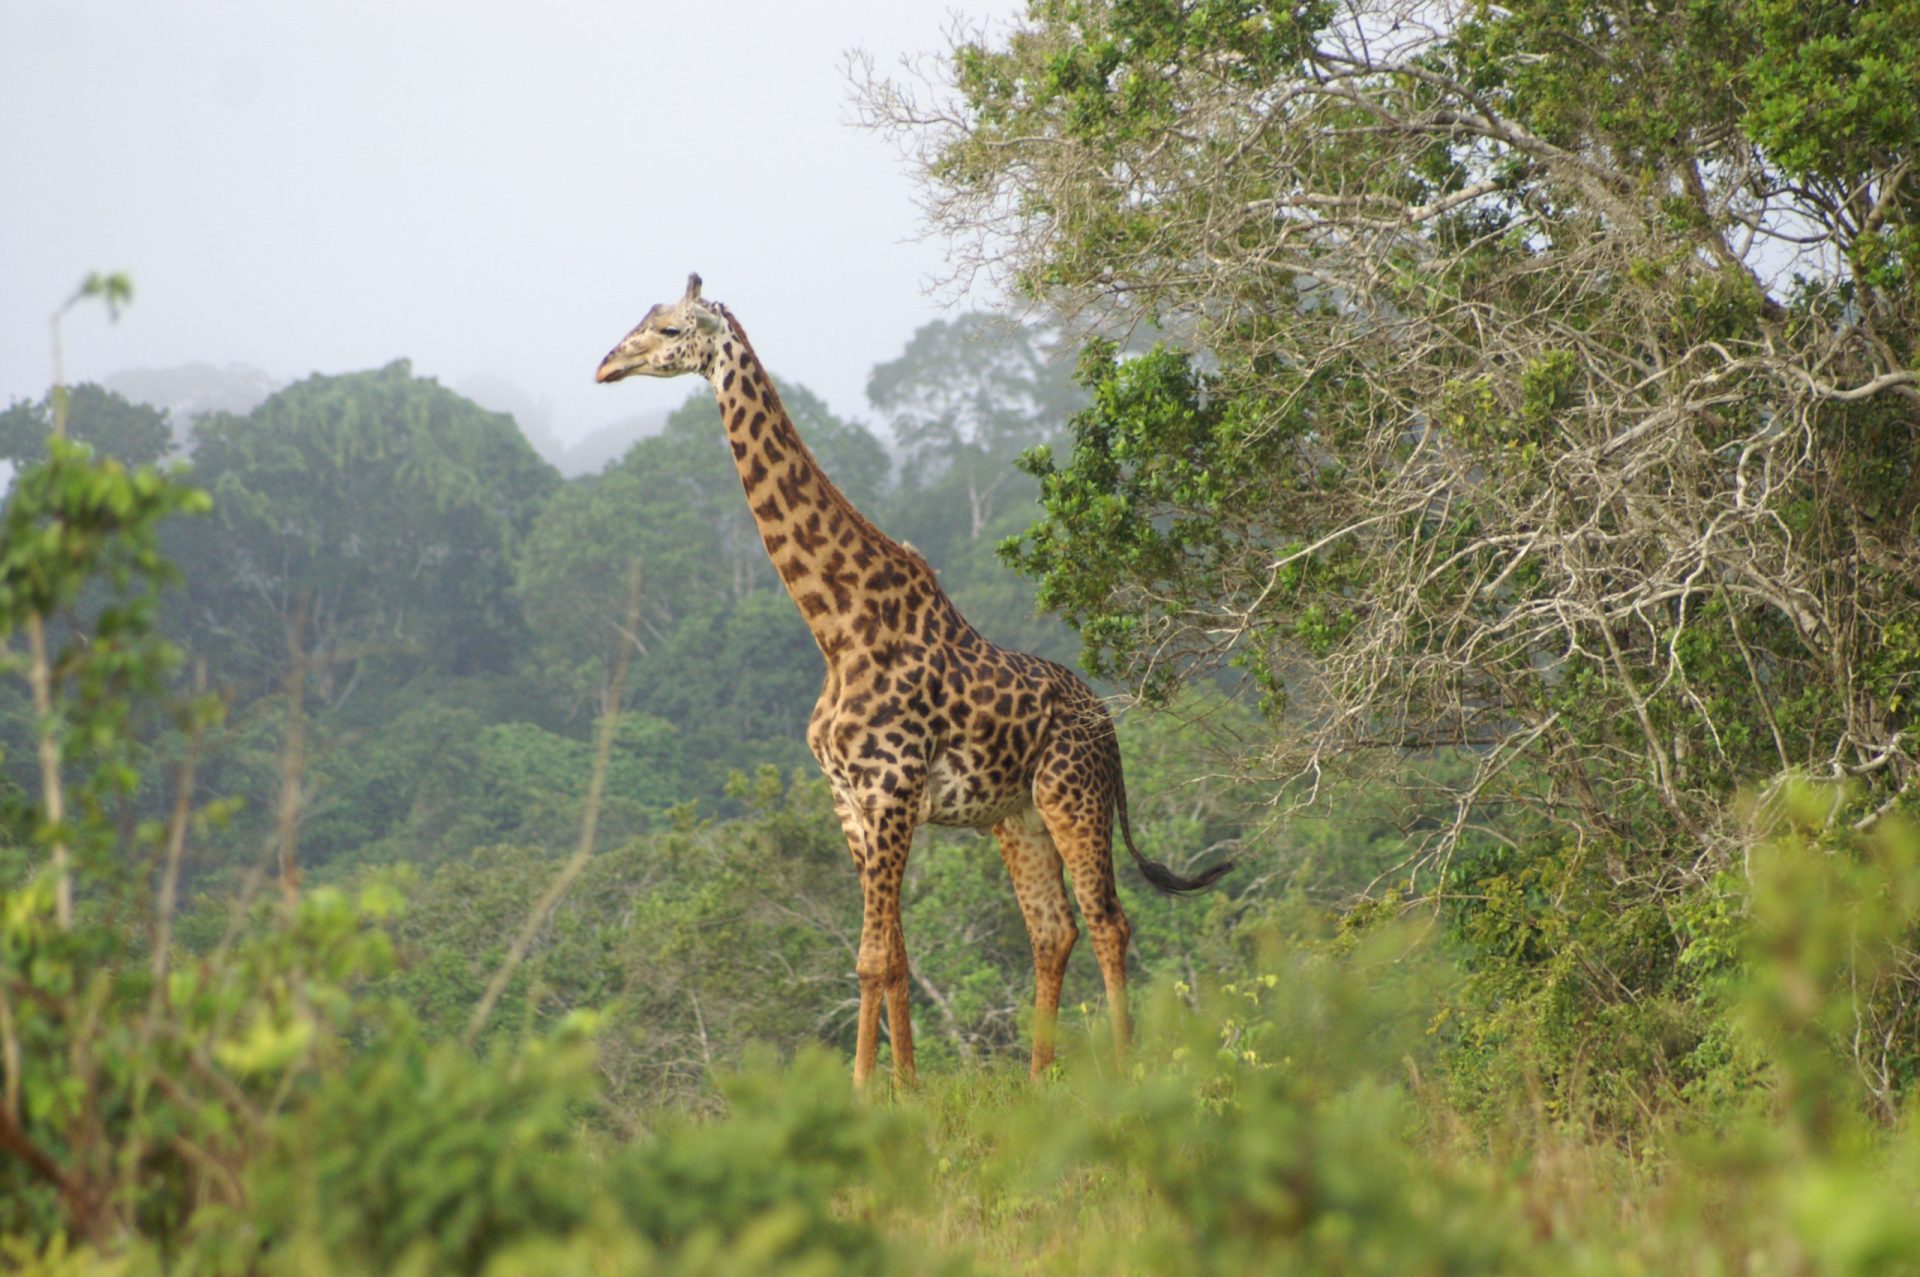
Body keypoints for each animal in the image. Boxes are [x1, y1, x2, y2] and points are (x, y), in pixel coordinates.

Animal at [599, 274, 1228, 1083]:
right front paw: (903, 1088)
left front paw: (871, 1093)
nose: (606, 365)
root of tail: (1110, 724)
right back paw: (1036, 1080)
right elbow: (893, 958)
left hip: (1073, 797)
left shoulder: (891, 788)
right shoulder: (850, 801)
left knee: (1109, 920)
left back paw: (1121, 1072)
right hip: (1017, 818)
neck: (838, 628)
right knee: (1053, 929)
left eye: (672, 329)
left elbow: (872, 958)